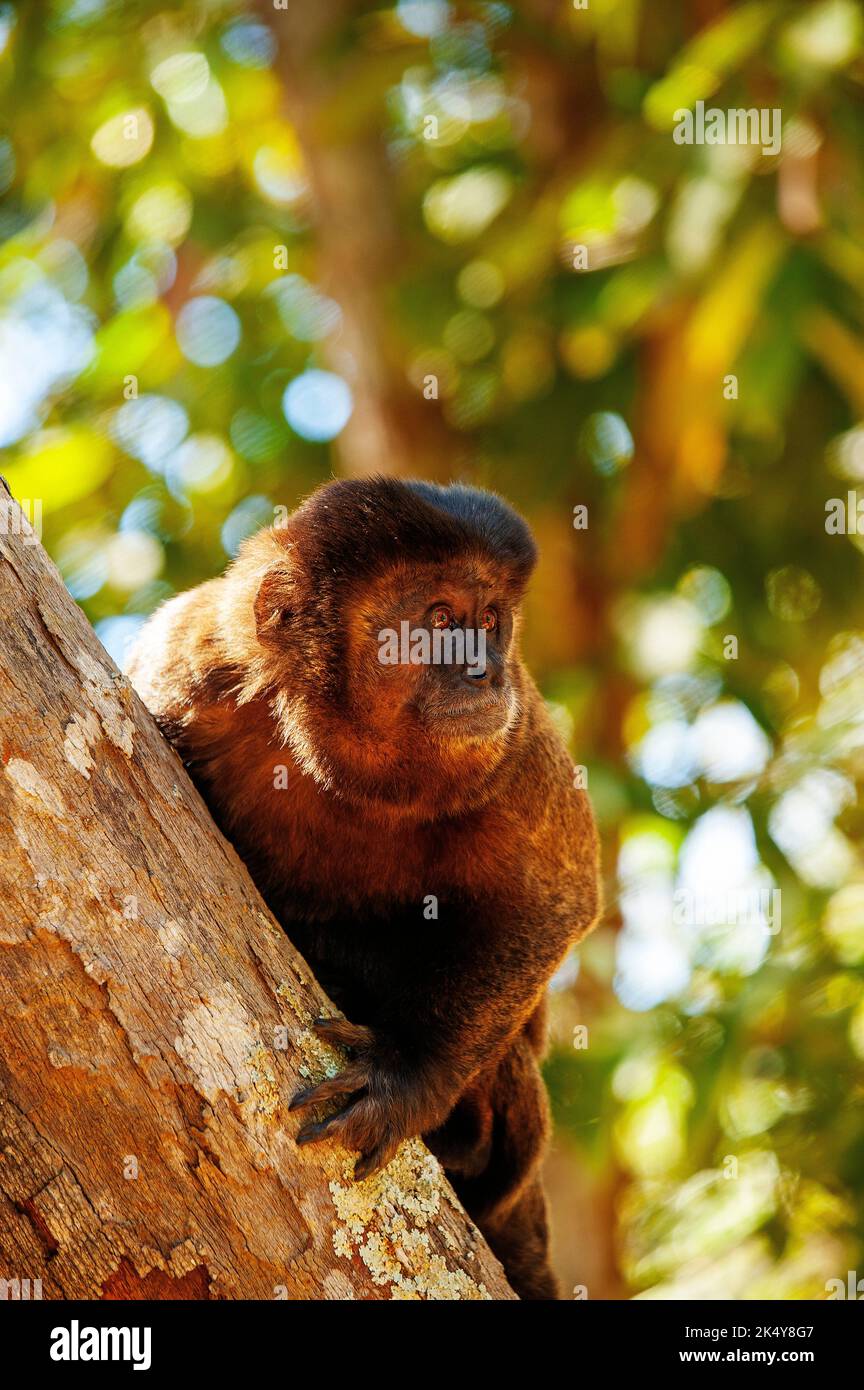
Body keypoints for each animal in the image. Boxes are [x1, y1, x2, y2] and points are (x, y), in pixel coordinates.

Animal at [127, 480, 602, 1301]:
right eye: (438, 620)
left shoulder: (515, 743)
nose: (486, 670)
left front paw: (408, 1075)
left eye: (489, 623)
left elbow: (560, 897)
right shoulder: (190, 662)